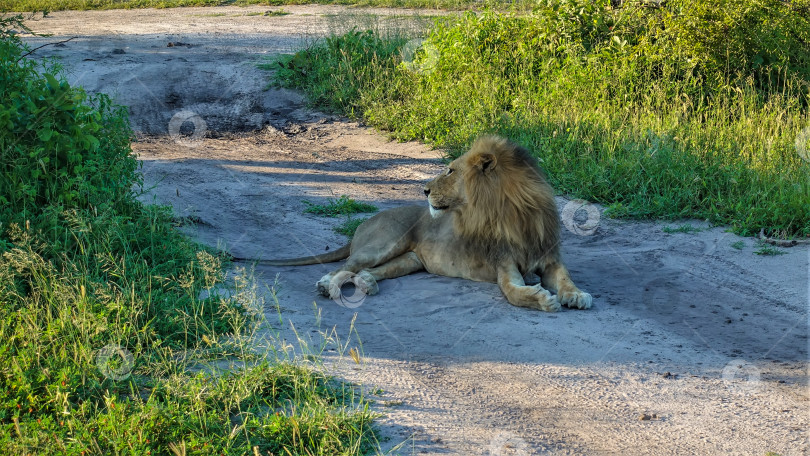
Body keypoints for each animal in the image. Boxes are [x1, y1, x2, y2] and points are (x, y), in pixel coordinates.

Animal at [260, 135, 592, 312]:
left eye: (450, 171)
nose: (425, 190)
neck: (514, 212)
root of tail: (365, 222)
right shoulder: (503, 264)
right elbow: (514, 292)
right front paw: (543, 299)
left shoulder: (549, 258)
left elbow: (565, 278)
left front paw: (575, 295)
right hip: (384, 243)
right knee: (345, 266)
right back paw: (327, 286)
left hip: (410, 259)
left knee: (367, 272)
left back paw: (366, 284)